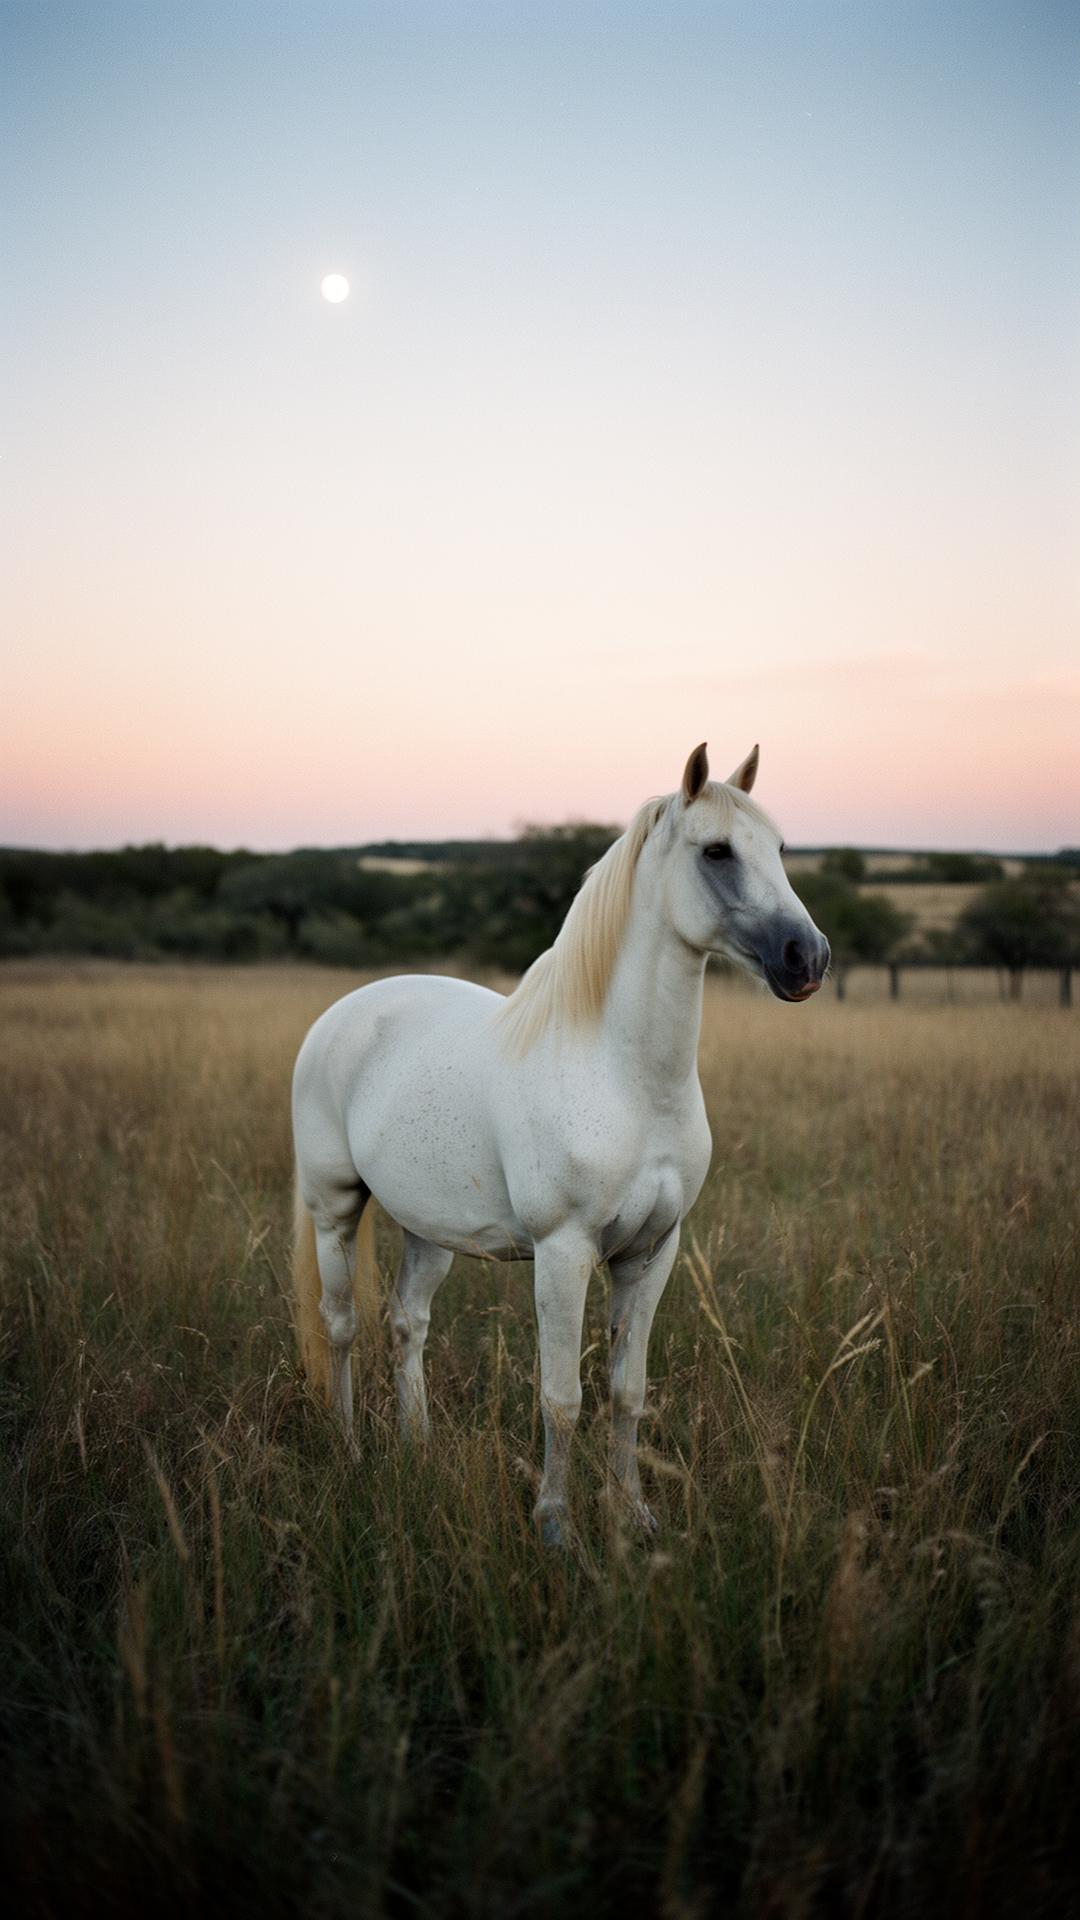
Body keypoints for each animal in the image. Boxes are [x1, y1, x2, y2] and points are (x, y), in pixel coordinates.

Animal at [291, 742, 829, 1545]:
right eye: (717, 851)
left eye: (782, 848)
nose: (807, 957)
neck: (625, 1076)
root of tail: (343, 1014)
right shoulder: (564, 1252)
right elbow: (562, 1397)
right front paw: (555, 1527)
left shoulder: (652, 1251)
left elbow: (628, 1391)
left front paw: (635, 1515)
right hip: (334, 1208)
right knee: (342, 1327)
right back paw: (350, 1449)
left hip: (429, 1228)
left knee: (407, 1325)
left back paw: (418, 1451)